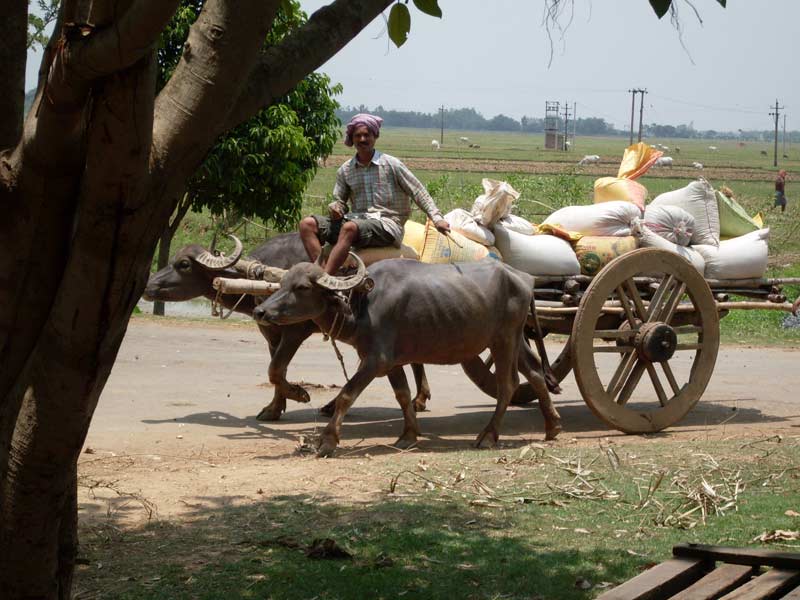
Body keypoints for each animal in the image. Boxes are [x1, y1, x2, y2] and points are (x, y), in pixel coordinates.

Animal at [144, 234, 432, 422]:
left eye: (184, 264)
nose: (147, 286)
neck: (259, 276)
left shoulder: (295, 331)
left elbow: (275, 369)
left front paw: (299, 394)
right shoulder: (271, 333)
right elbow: (275, 370)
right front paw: (274, 408)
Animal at [255, 255, 564, 458]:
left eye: (302, 287)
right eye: (283, 282)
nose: (260, 311)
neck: (362, 305)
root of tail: (524, 279)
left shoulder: (375, 360)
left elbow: (346, 394)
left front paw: (327, 441)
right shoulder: (393, 362)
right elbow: (403, 396)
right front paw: (408, 436)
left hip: (504, 340)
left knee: (508, 385)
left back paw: (488, 436)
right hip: (515, 339)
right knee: (536, 374)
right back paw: (552, 426)